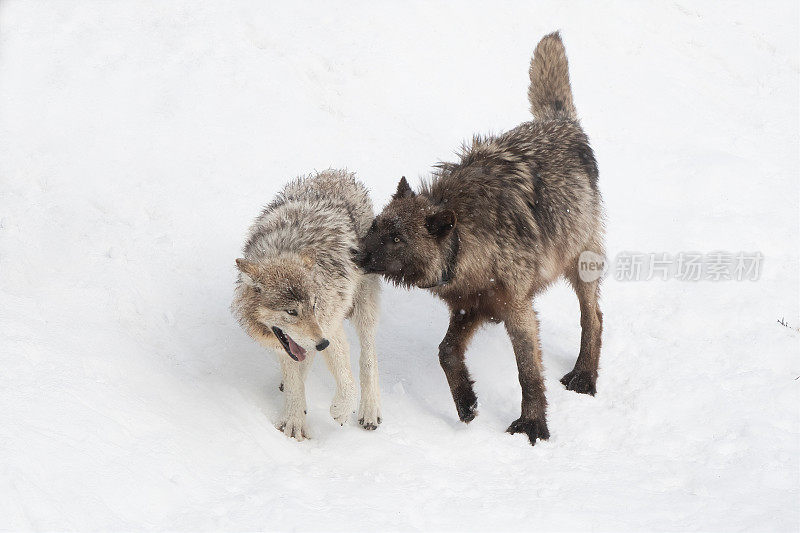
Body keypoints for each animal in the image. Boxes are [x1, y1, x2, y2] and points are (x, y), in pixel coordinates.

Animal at [233, 170, 382, 440]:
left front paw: (340, 410)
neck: (286, 250)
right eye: (291, 312)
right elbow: (294, 381)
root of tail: (338, 173)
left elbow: (347, 382)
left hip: (363, 307)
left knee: (368, 356)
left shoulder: (330, 325)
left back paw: (369, 410)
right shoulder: (290, 343)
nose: (322, 344)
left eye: (313, 305)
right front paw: (293, 421)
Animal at [356, 32, 600, 444]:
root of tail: (561, 123)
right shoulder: (469, 306)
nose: (355, 256)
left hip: (581, 266)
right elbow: (445, 352)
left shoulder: (518, 309)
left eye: (397, 239)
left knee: (593, 317)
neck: (469, 245)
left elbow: (528, 372)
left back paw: (584, 376)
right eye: (375, 227)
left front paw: (533, 424)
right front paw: (466, 404)